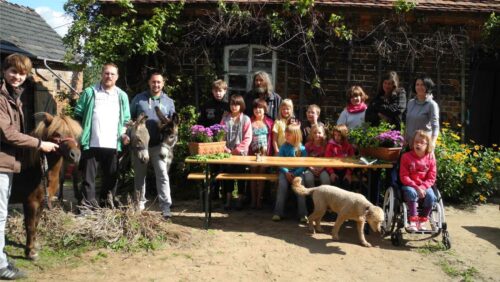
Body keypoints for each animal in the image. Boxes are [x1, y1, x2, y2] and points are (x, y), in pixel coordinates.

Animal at [9, 113, 82, 260]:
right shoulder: (31, 203)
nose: (75, 155)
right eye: (57, 133)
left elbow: (36, 224)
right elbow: (30, 225)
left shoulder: (42, 202)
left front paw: (33, 246)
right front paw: (30, 252)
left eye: (74, 133)